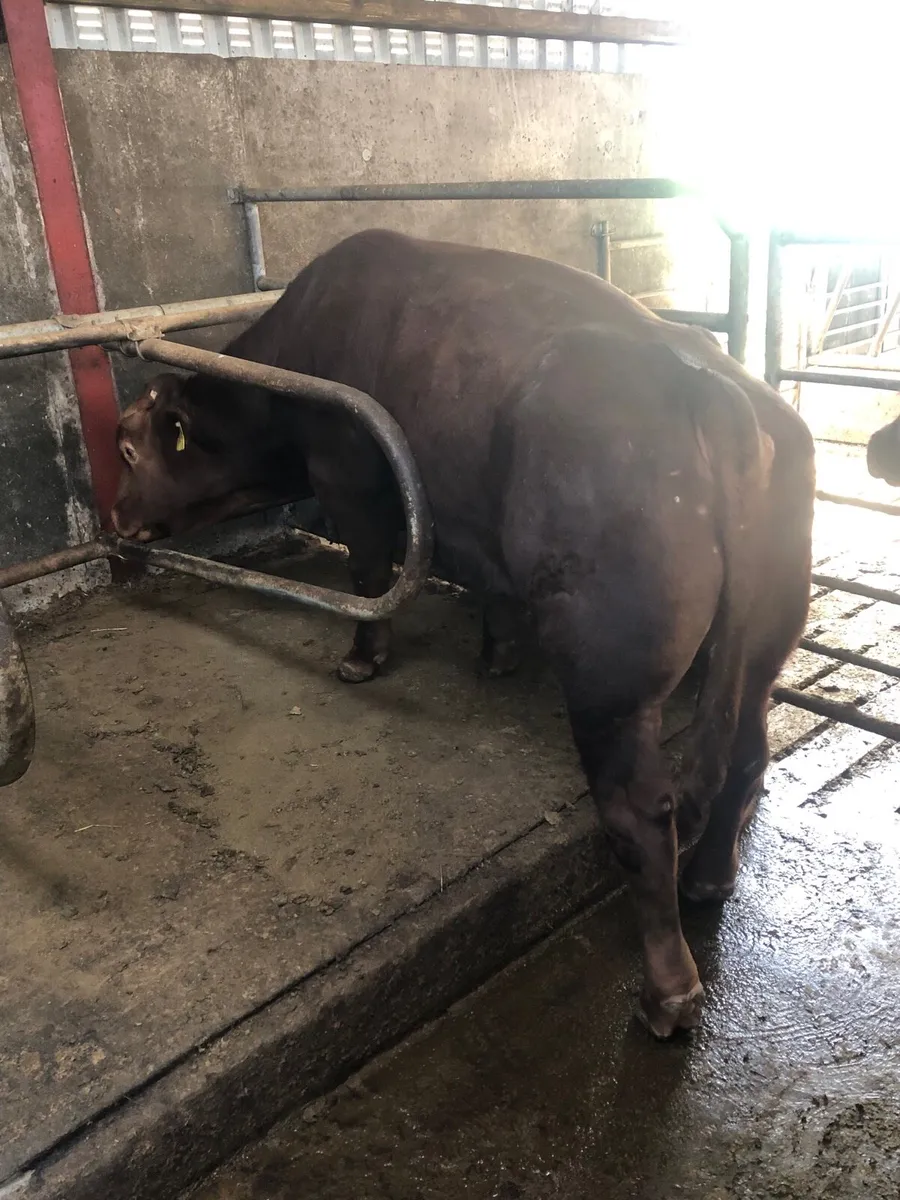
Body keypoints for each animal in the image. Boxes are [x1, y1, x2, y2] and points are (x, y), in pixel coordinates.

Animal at [112, 230, 815, 1038]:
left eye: (128, 449)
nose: (114, 518)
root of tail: (706, 385)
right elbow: (491, 586)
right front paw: (497, 653)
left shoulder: (349, 481)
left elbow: (367, 574)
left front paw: (361, 659)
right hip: (763, 645)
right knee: (747, 754)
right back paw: (709, 881)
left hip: (610, 676)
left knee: (642, 816)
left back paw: (667, 992)